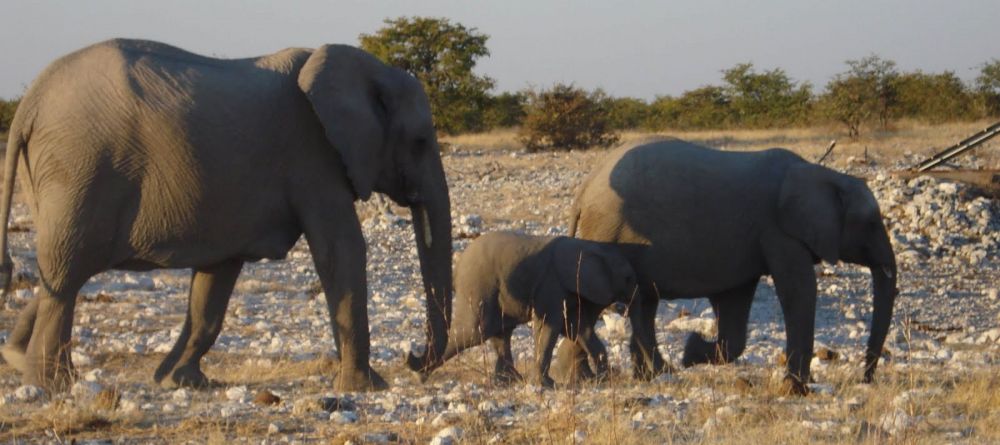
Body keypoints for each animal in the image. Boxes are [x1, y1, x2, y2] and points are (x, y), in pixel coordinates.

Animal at [0, 39, 453, 392]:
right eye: (419, 141)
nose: (414, 359)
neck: (371, 69)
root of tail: (30, 102)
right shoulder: (313, 157)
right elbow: (341, 251)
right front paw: (367, 387)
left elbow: (215, 281)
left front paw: (181, 381)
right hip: (79, 170)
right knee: (66, 274)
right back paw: (51, 385)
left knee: (62, 274)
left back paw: (28, 364)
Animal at [407, 232, 637, 387]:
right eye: (627, 278)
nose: (624, 308)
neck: (588, 247)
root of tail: (458, 265)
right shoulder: (551, 284)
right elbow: (549, 326)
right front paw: (546, 386)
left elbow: (579, 328)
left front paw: (606, 379)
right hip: (478, 284)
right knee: (474, 332)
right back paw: (420, 375)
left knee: (500, 332)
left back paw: (509, 381)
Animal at [557, 139, 898, 395]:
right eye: (870, 223)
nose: (865, 379)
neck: (823, 175)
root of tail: (583, 191)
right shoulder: (779, 231)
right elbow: (797, 291)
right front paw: (795, 389)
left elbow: (736, 307)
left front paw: (691, 352)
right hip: (608, 234)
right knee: (600, 304)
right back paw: (585, 379)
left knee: (643, 303)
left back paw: (638, 376)